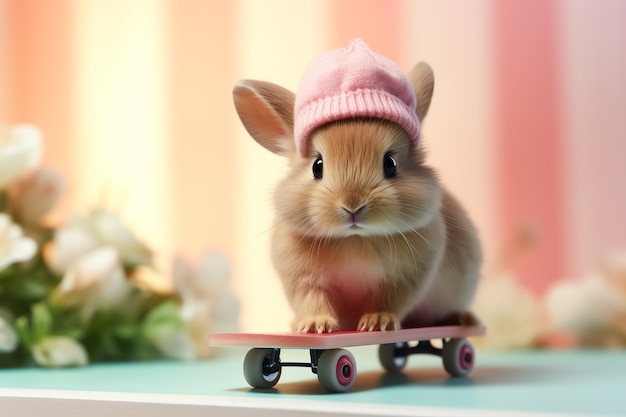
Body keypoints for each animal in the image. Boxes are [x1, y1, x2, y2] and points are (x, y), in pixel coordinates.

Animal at [232, 39, 480, 332]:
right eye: (317, 166)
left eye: (391, 163)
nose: (352, 206)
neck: (354, 240)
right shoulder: (303, 279)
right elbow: (312, 299)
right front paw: (315, 325)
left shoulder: (404, 278)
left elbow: (387, 300)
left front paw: (377, 323)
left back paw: (462, 318)